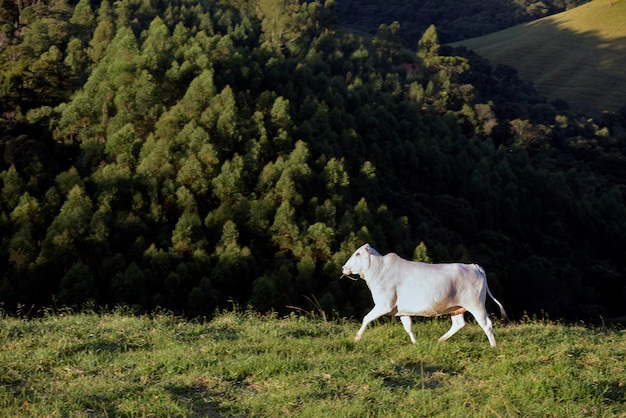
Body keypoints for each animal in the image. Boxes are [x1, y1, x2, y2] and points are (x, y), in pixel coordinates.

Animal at [342, 243, 508, 348]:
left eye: (357, 253)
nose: (343, 268)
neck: (378, 270)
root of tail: (474, 266)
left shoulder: (384, 304)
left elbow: (366, 318)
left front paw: (356, 338)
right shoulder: (401, 310)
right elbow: (408, 327)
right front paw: (415, 343)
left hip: (476, 305)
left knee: (487, 324)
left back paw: (493, 347)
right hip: (456, 307)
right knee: (459, 324)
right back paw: (440, 340)